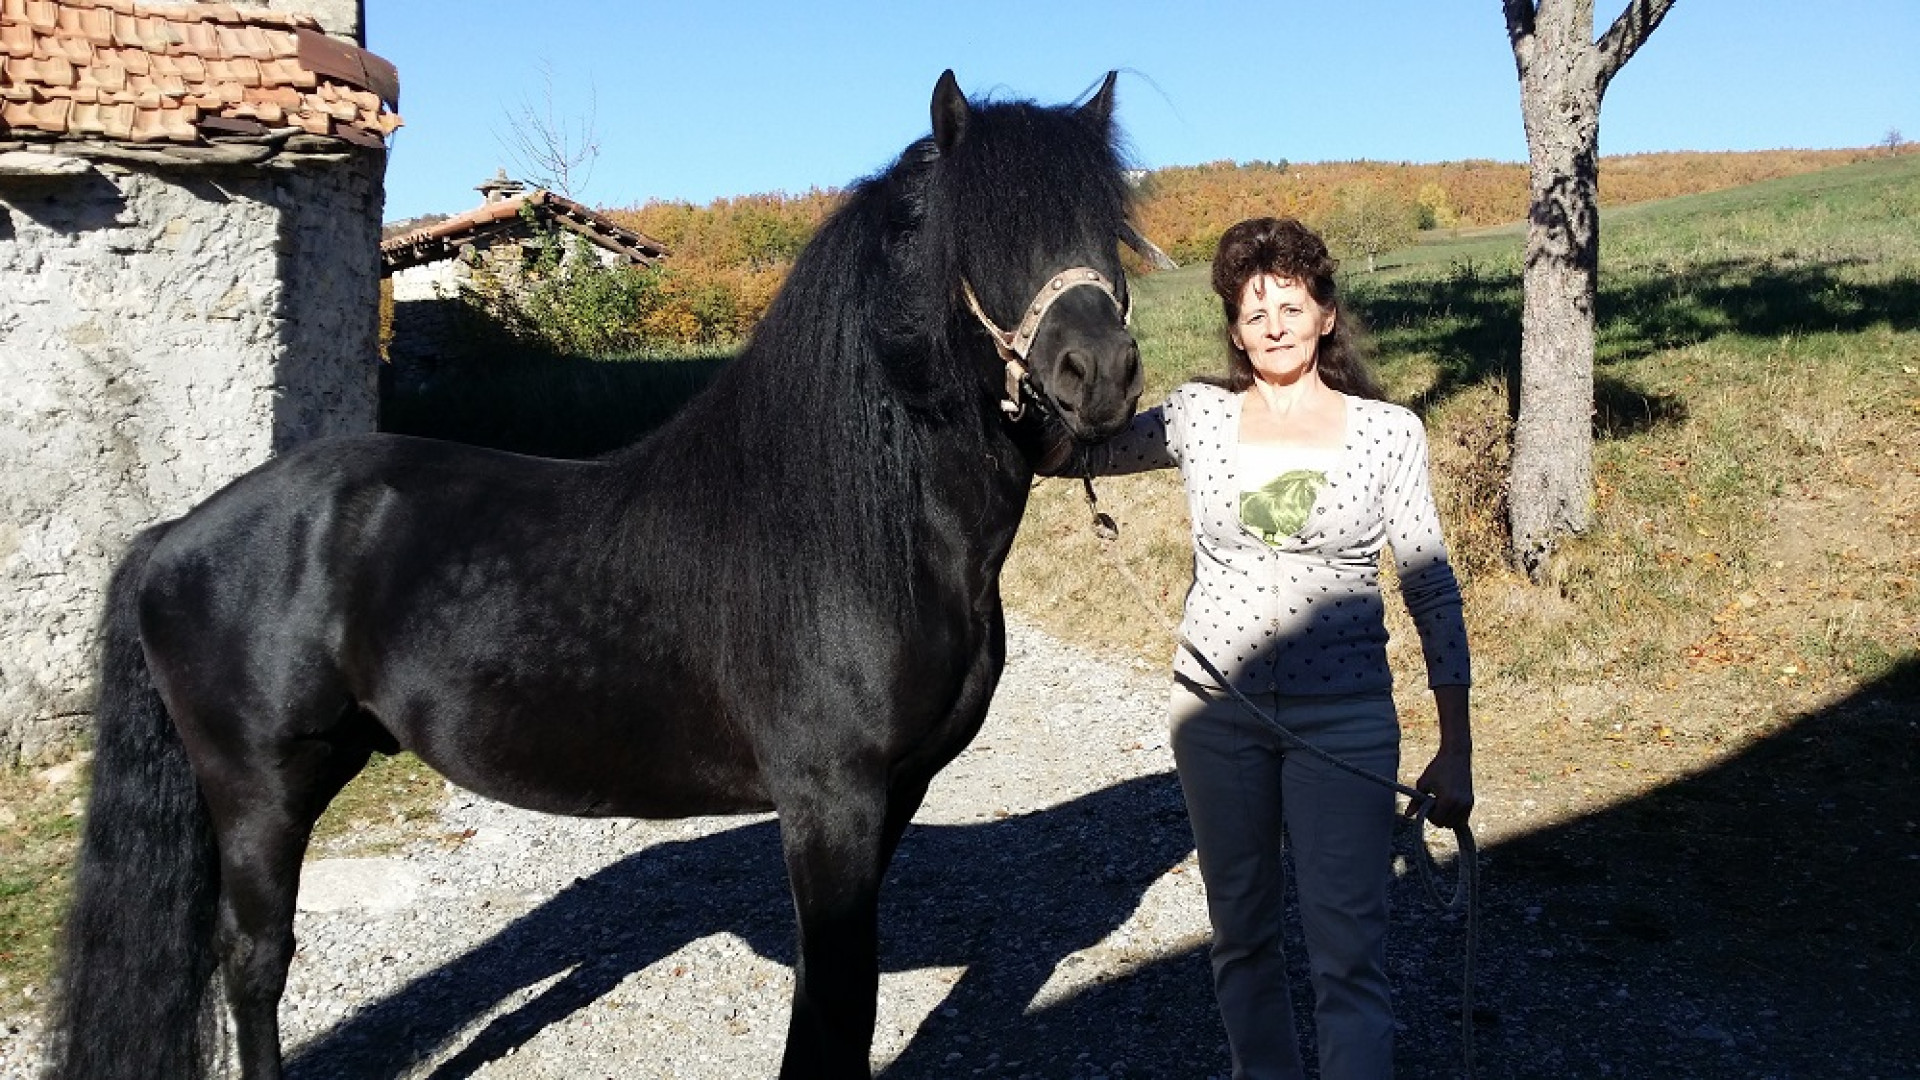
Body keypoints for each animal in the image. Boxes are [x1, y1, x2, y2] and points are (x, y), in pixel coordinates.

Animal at [45, 69, 1141, 1080]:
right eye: (979, 233)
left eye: (1108, 225)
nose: (1102, 373)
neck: (854, 529)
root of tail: (177, 533)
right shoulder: (830, 804)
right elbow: (836, 1005)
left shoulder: (895, 796)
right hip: (257, 789)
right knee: (256, 961)